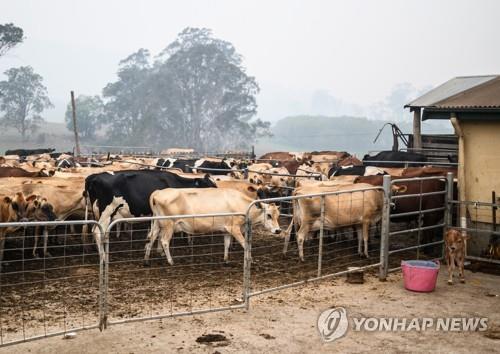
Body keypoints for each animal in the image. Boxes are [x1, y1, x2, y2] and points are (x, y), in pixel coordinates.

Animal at [84, 169, 217, 254]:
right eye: (209, 185)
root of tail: (94, 177)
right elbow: (156, 233)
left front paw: (158, 250)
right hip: (106, 212)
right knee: (97, 231)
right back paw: (102, 255)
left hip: (98, 214)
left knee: (97, 230)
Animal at [146, 188, 284, 266]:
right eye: (269, 215)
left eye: (278, 215)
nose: (278, 230)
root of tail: (158, 192)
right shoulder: (235, 228)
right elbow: (245, 245)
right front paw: (250, 259)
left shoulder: (227, 229)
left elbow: (227, 244)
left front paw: (226, 260)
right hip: (168, 225)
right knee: (164, 241)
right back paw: (170, 261)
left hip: (157, 224)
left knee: (150, 240)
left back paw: (146, 260)